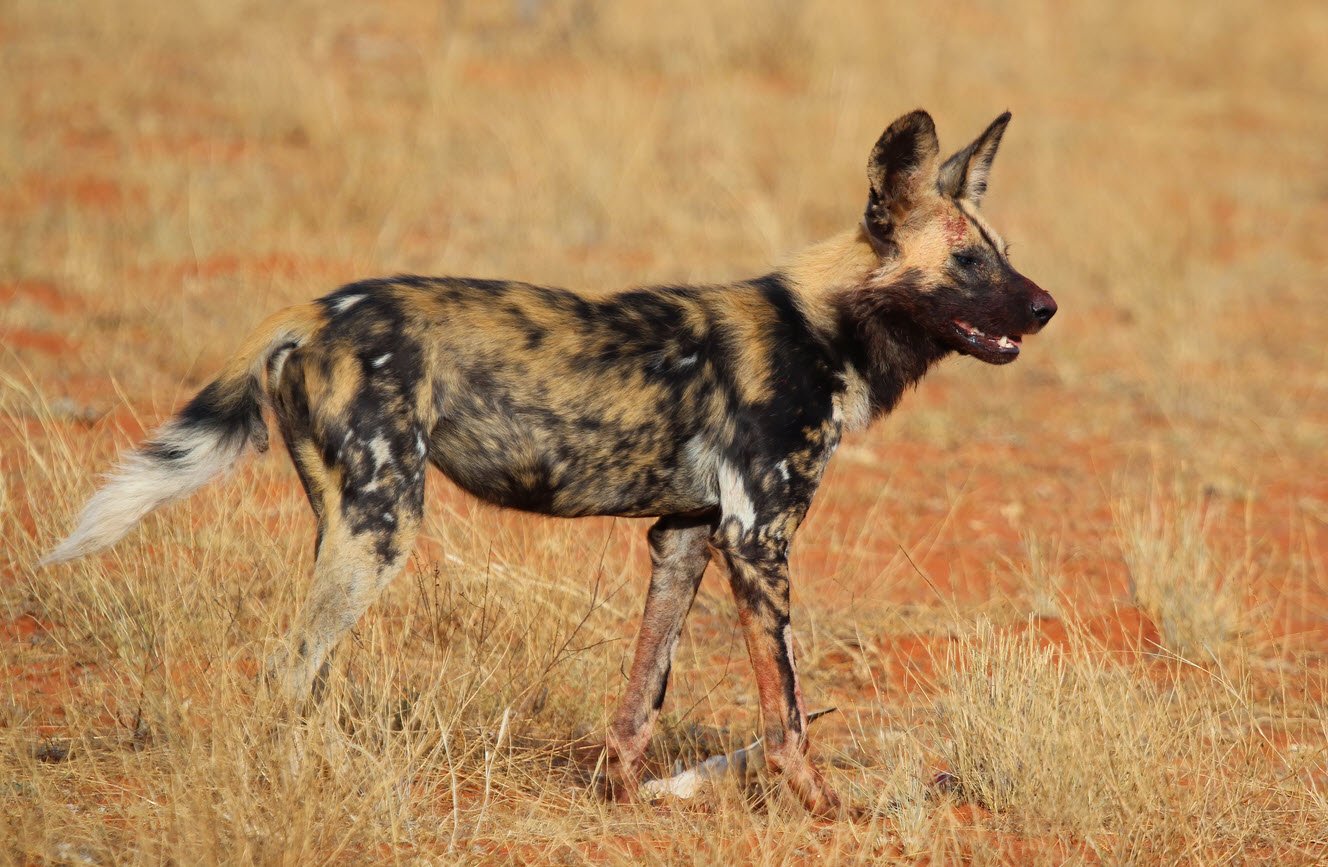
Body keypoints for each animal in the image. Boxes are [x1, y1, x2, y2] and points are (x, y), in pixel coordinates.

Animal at [44, 110, 1057, 817]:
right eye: (968, 263)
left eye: (1003, 253)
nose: (1046, 306)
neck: (824, 327)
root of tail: (316, 307)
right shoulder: (756, 540)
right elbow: (789, 717)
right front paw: (825, 808)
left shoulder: (687, 536)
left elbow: (642, 694)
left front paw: (619, 795)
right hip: (385, 525)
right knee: (288, 668)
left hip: (346, 521)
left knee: (309, 670)